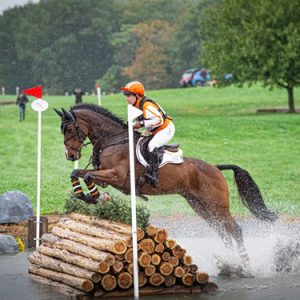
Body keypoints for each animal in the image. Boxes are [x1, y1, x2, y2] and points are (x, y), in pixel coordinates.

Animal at [53, 103, 276, 270]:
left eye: (70, 129)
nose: (70, 155)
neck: (112, 140)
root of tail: (215, 168)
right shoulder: (104, 177)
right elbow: (78, 173)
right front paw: (87, 196)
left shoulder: (117, 176)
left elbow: (88, 175)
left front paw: (98, 197)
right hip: (200, 206)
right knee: (222, 231)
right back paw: (230, 264)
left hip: (216, 206)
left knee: (235, 230)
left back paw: (246, 266)